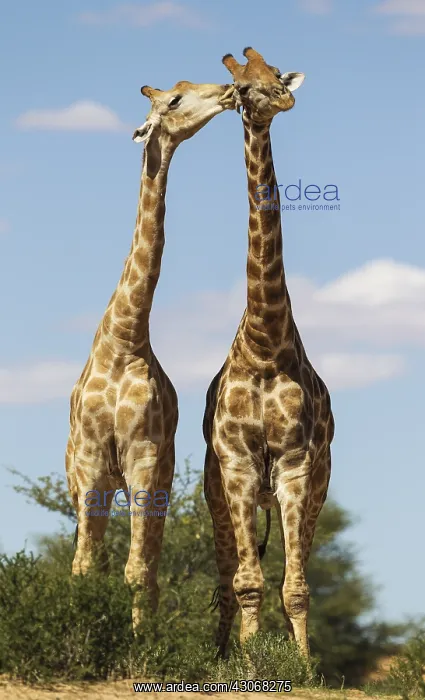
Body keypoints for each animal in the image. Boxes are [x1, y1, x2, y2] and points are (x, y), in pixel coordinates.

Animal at [66, 78, 234, 629]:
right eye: (175, 100)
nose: (229, 90)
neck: (125, 338)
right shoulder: (91, 465)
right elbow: (84, 569)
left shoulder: (145, 458)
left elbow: (138, 573)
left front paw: (140, 642)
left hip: (158, 479)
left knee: (152, 569)